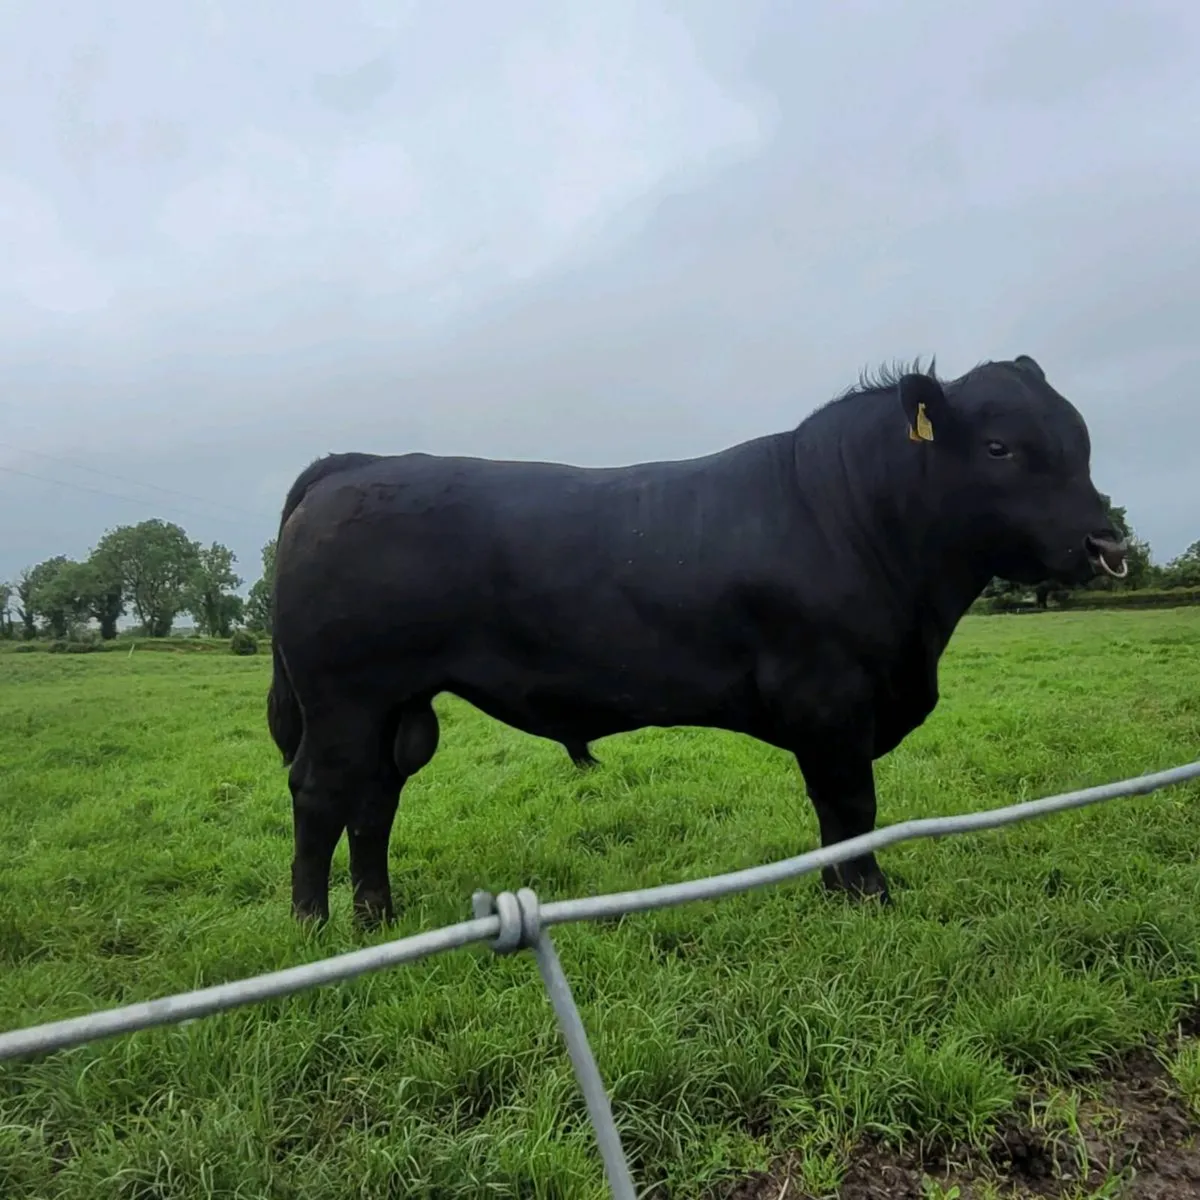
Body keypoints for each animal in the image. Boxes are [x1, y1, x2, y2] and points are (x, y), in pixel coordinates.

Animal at [267, 355, 1127, 929]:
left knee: (375, 797)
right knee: (320, 791)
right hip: (344, 697)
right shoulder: (831, 701)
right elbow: (852, 805)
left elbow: (835, 813)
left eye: (1081, 440)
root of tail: (356, 464)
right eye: (999, 448)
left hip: (397, 703)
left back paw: (377, 914)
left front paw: (839, 894)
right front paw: (870, 899)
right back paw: (314, 924)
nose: (1104, 540)